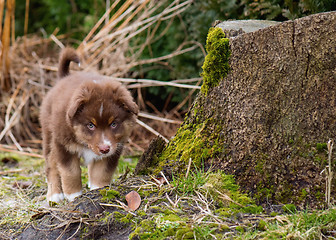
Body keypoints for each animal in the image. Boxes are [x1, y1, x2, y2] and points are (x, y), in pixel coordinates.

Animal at [40, 47, 138, 203]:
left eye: (114, 124)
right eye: (90, 125)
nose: (104, 149)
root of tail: (63, 78)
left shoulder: (115, 148)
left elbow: (102, 172)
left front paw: (98, 190)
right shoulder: (63, 145)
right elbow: (70, 171)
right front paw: (73, 195)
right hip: (49, 135)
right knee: (51, 166)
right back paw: (54, 196)